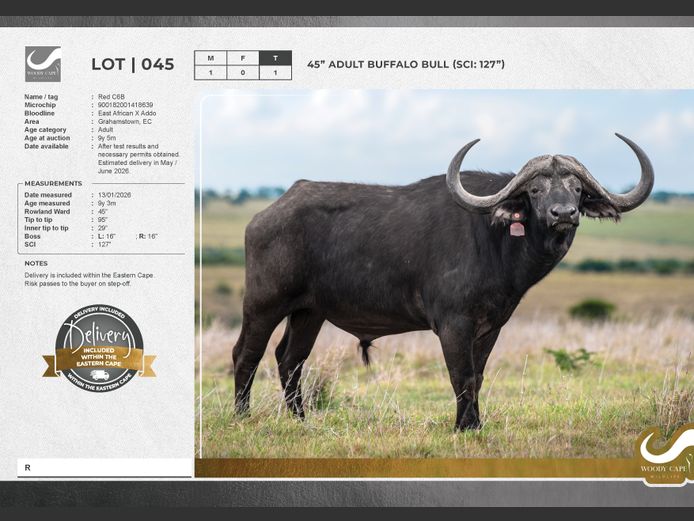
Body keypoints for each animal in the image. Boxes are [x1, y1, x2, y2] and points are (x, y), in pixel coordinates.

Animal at [232, 134, 654, 430]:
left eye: (577, 189)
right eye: (535, 190)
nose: (563, 213)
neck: (495, 239)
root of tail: (266, 215)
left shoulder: (491, 327)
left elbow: (477, 376)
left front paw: (475, 424)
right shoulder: (453, 324)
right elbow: (460, 375)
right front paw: (463, 427)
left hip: (309, 313)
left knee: (290, 359)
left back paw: (300, 420)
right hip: (263, 304)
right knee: (246, 355)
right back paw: (241, 416)